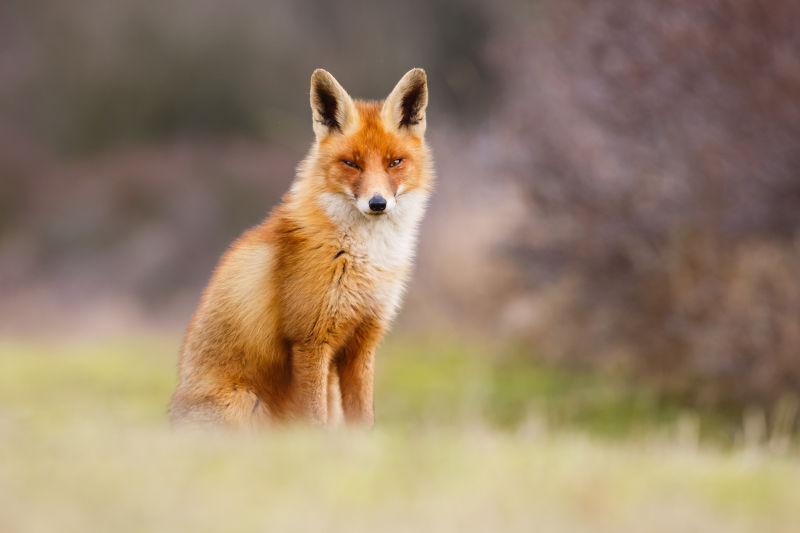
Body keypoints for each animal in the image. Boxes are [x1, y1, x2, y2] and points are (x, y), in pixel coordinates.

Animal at [167, 68, 432, 428]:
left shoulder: (363, 342)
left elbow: (363, 420)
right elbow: (315, 422)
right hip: (247, 403)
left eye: (395, 162)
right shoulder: (310, 341)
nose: (377, 203)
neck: (361, 256)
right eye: (351, 163)